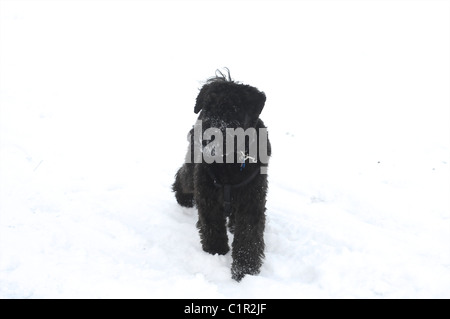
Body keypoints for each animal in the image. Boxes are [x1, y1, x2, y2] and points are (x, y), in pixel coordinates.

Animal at [172, 70, 270, 282]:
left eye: (233, 109)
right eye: (208, 106)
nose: (207, 137)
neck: (230, 163)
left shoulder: (252, 200)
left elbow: (248, 234)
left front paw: (245, 270)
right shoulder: (207, 193)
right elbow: (212, 226)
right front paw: (216, 252)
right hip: (191, 174)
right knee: (182, 177)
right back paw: (183, 198)